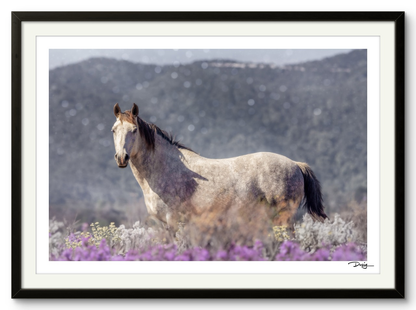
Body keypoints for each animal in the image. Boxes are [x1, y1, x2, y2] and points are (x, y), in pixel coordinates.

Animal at [112, 103, 326, 232]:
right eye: (114, 130)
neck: (165, 169)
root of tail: (296, 165)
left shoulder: (174, 221)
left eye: (134, 130)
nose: (122, 158)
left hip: (283, 219)